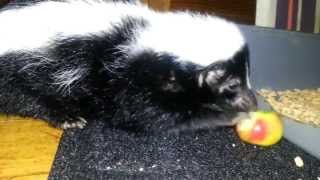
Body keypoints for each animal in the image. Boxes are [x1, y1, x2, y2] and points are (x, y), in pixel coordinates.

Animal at [0, 0, 256, 134]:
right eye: (232, 85)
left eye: (247, 77)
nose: (253, 102)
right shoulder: (127, 82)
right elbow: (148, 116)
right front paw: (227, 116)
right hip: (18, 77)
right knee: (33, 99)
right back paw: (69, 118)